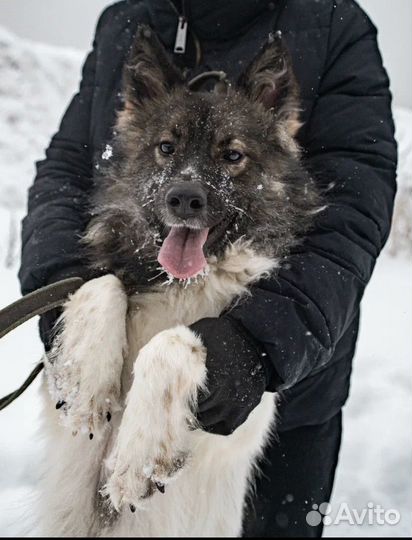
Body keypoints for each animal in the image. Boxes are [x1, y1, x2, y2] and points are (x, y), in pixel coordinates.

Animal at [38, 26, 320, 536]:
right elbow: (102, 285)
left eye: (232, 155)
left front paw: (137, 457)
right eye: (166, 147)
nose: (184, 198)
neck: (182, 284)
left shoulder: (236, 419)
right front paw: (89, 385)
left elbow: (174, 343)